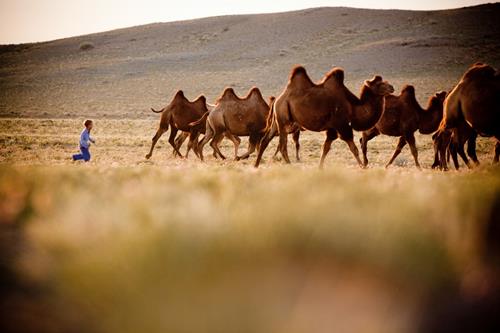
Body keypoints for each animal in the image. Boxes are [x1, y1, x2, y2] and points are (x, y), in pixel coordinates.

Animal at [254, 65, 394, 167]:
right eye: (380, 84)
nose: (392, 87)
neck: (352, 107)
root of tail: (277, 99)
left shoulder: (332, 128)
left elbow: (325, 148)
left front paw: (320, 168)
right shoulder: (342, 125)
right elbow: (353, 148)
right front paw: (363, 167)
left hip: (277, 121)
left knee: (265, 141)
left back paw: (256, 165)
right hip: (283, 119)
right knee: (282, 145)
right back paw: (290, 166)